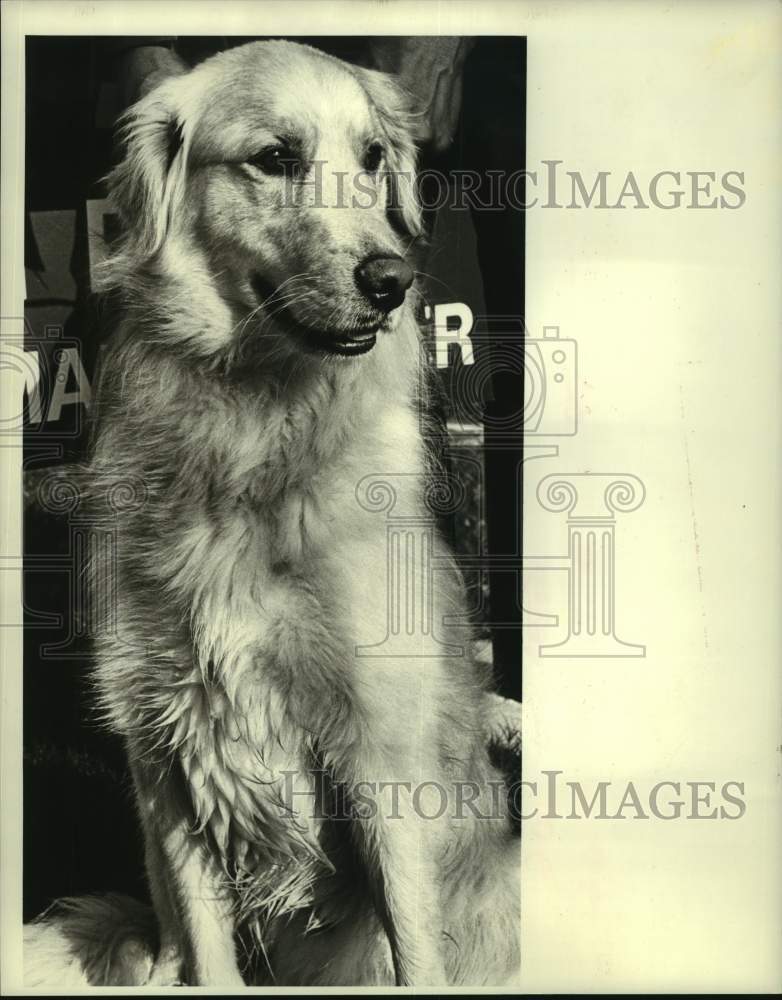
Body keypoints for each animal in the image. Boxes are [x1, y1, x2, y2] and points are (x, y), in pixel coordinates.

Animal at [78, 37, 520, 984]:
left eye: (375, 157)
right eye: (276, 157)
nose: (392, 280)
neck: (256, 428)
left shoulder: (382, 761)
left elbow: (414, 950)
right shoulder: (170, 753)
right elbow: (210, 957)